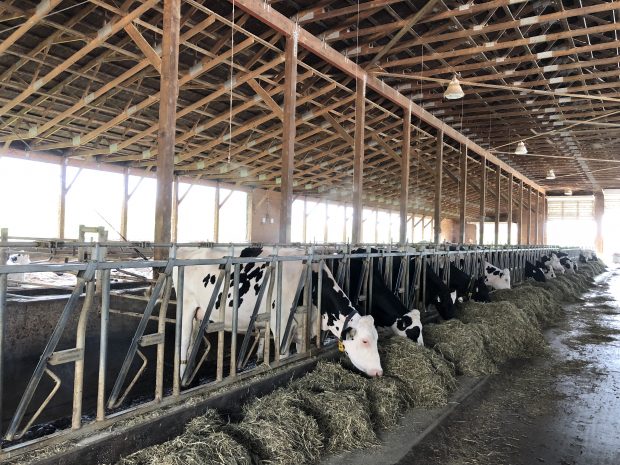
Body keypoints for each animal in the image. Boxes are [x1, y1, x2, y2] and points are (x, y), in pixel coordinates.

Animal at [171, 246, 382, 376]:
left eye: (376, 338)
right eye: (364, 341)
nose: (379, 371)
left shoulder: (302, 326)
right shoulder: (280, 323)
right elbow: (284, 356)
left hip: (199, 314)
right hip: (186, 307)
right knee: (183, 342)